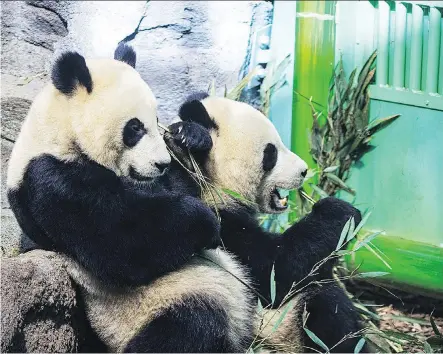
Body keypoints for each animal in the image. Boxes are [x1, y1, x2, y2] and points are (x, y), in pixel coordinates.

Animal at [6, 45, 260, 352]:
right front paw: (207, 222)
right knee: (189, 328)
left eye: (157, 120)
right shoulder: (49, 178)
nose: (161, 163)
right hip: (157, 305)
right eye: (135, 128)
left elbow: (181, 186)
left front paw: (190, 136)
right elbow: (123, 242)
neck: (59, 134)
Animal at [163, 92, 372, 352]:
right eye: (270, 153)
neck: (210, 182)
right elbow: (273, 271)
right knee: (324, 300)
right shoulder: (219, 227)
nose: (304, 171)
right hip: (276, 328)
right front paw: (341, 211)